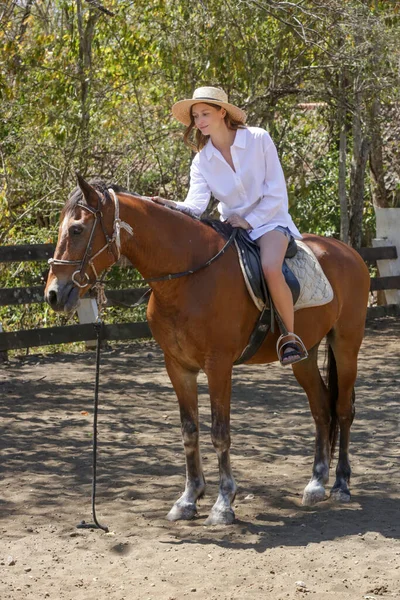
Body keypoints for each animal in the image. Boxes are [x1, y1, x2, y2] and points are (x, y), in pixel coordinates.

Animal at [46, 177, 368, 524]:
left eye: (77, 229)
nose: (53, 294)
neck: (187, 278)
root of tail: (348, 252)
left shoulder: (218, 366)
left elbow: (219, 432)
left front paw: (223, 503)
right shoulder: (178, 367)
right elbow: (189, 431)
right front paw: (188, 499)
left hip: (346, 345)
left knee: (343, 410)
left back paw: (340, 484)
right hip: (303, 355)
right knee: (321, 408)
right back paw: (316, 483)